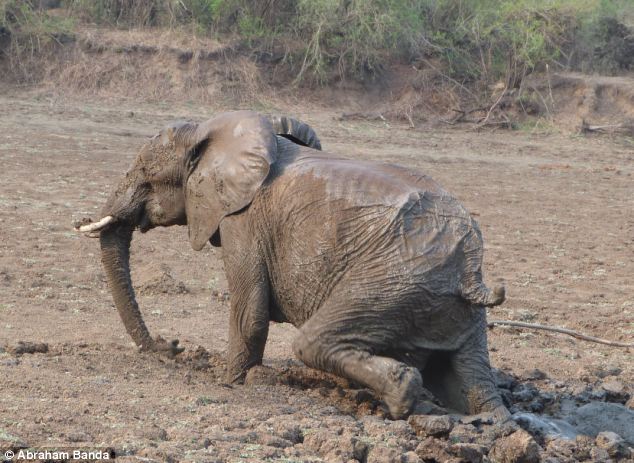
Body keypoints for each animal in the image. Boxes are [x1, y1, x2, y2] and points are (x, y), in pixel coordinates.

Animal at [75, 109, 508, 420]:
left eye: (144, 172)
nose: (170, 346)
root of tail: (471, 273)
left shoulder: (243, 220)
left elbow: (249, 313)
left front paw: (230, 383)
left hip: (395, 280)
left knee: (313, 342)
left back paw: (402, 395)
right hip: (449, 305)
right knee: (471, 379)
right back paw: (490, 424)